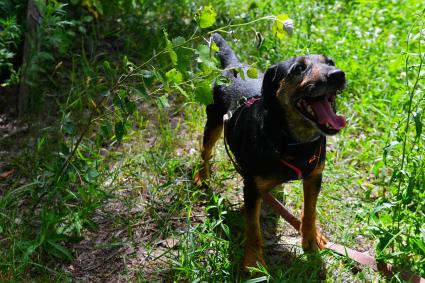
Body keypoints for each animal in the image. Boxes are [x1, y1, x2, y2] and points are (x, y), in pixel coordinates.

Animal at [194, 34, 346, 270]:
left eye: (330, 62)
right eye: (298, 69)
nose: (338, 74)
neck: (294, 143)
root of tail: (233, 65)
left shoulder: (314, 176)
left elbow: (310, 211)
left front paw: (311, 238)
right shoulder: (251, 189)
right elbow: (253, 229)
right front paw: (254, 261)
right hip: (214, 122)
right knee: (205, 152)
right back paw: (202, 175)